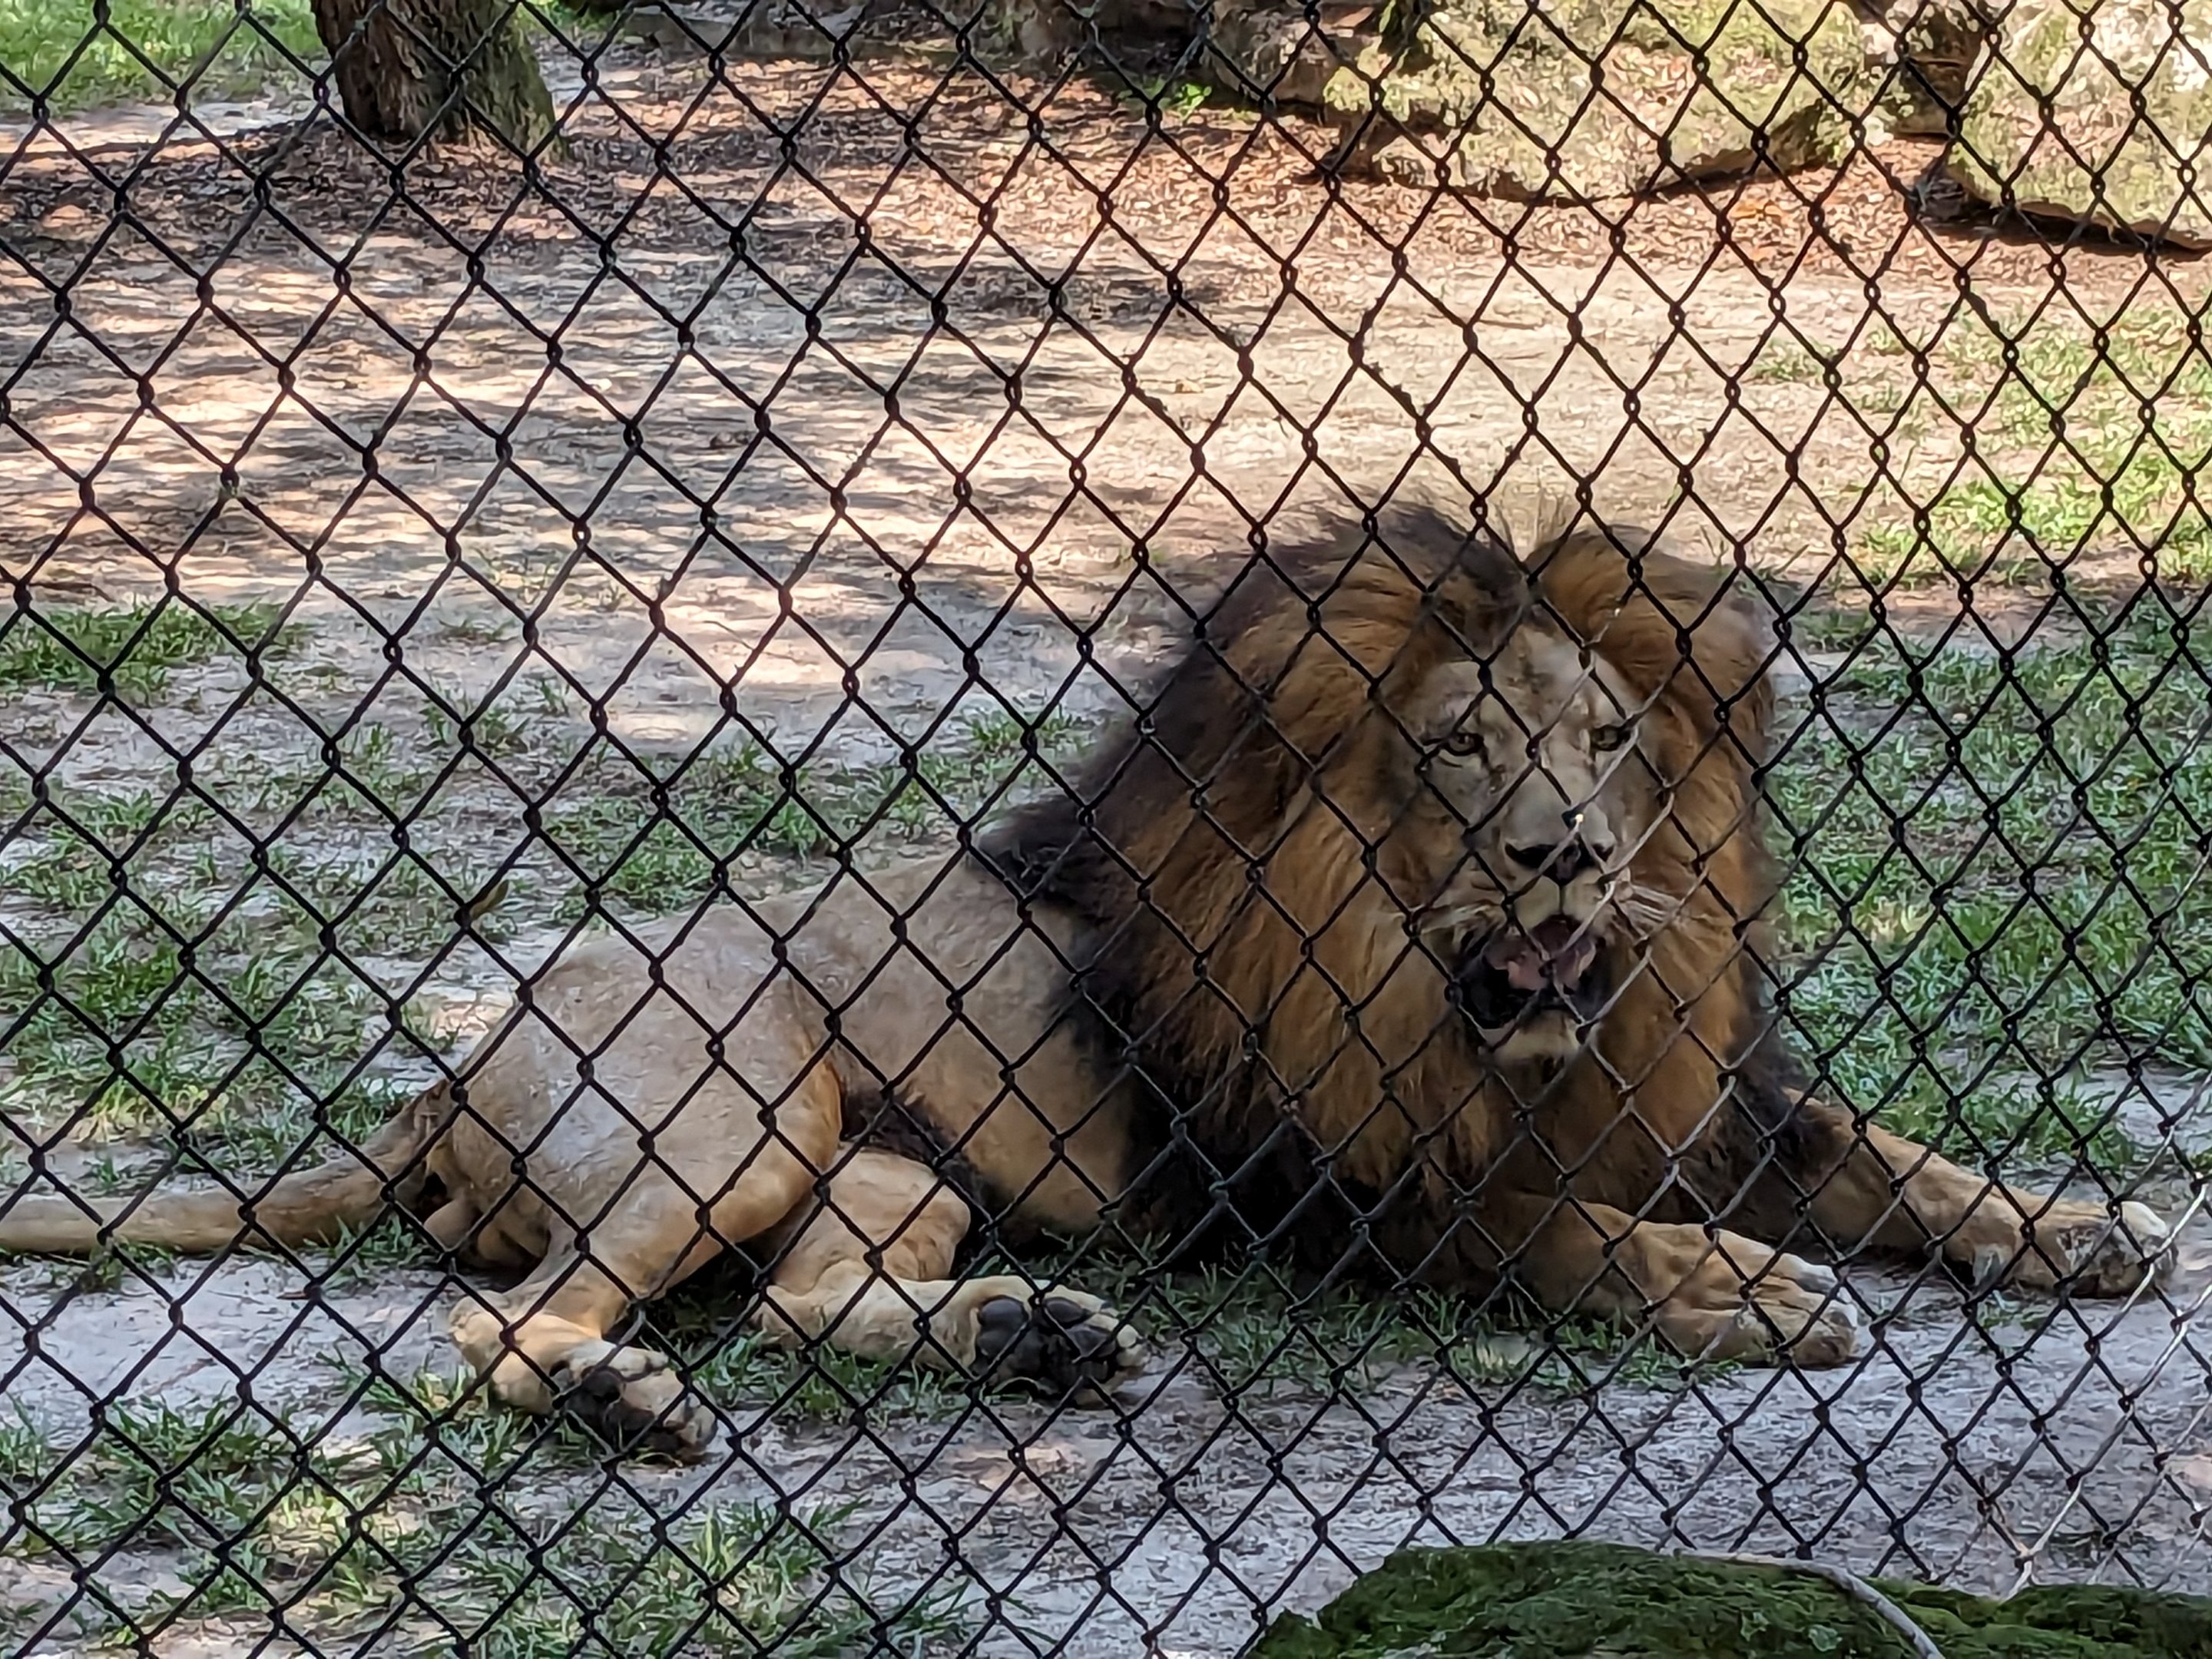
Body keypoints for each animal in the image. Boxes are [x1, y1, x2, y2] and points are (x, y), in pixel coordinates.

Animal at [0, 501, 2174, 1460]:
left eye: (1607, 742)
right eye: (1466, 747)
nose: (1566, 856)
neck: (1457, 997)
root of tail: (454, 1066)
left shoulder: (1678, 1088)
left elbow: (1881, 1151)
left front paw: (2080, 1222)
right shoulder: (1319, 1189)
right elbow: (1539, 1232)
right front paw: (1733, 1285)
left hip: (882, 1163)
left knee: (799, 1304)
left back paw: (1023, 1339)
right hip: (727, 1102)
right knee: (504, 1322)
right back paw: (629, 1390)